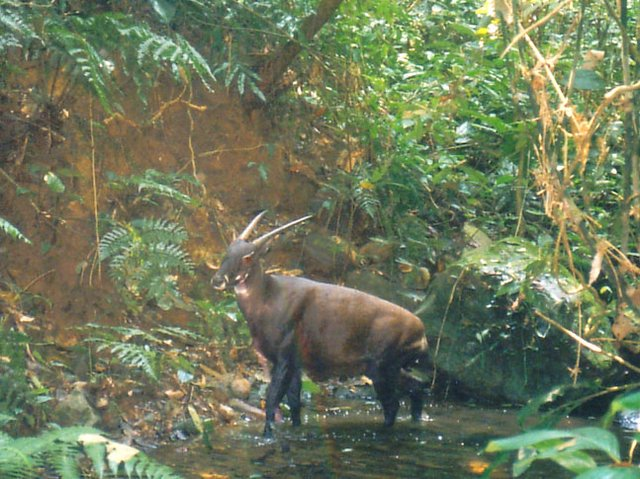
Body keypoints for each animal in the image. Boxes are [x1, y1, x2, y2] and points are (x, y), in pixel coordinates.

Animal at [212, 212, 428, 436]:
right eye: (227, 251)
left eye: (247, 257)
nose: (217, 280)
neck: (267, 299)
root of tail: (421, 334)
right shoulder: (295, 363)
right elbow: (294, 403)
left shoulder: (284, 357)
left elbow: (272, 400)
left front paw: (268, 435)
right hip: (388, 367)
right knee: (417, 388)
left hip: (382, 366)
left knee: (393, 403)